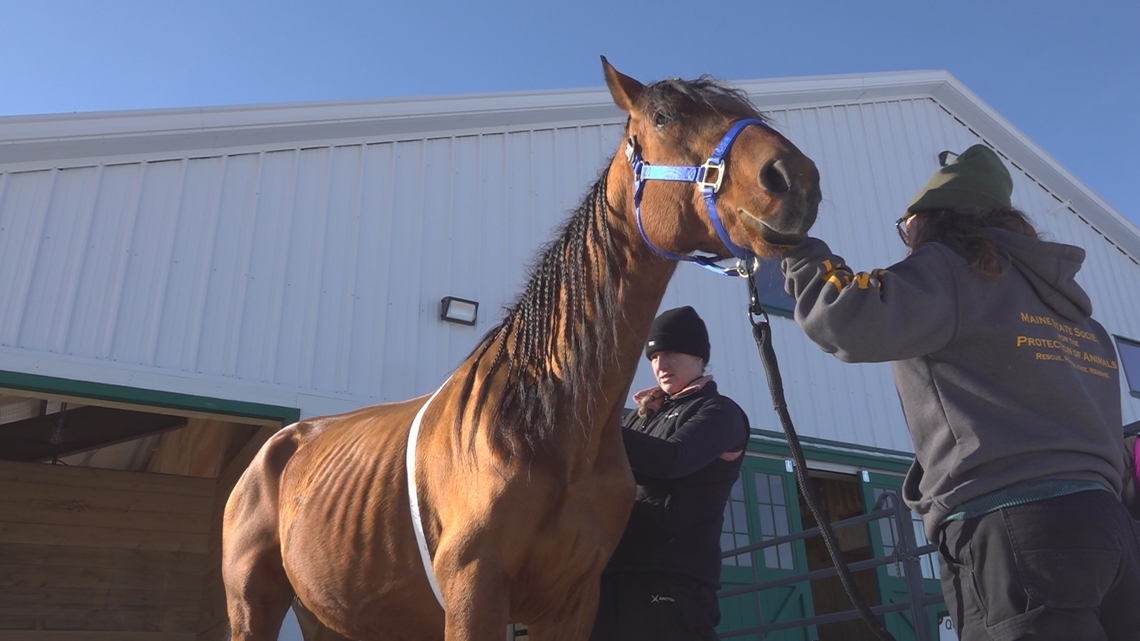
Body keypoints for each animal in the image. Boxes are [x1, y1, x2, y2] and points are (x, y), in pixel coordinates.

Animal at [221, 56, 821, 641]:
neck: (542, 419)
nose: (796, 179)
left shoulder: (573, 605)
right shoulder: (473, 594)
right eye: (664, 118)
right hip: (253, 603)